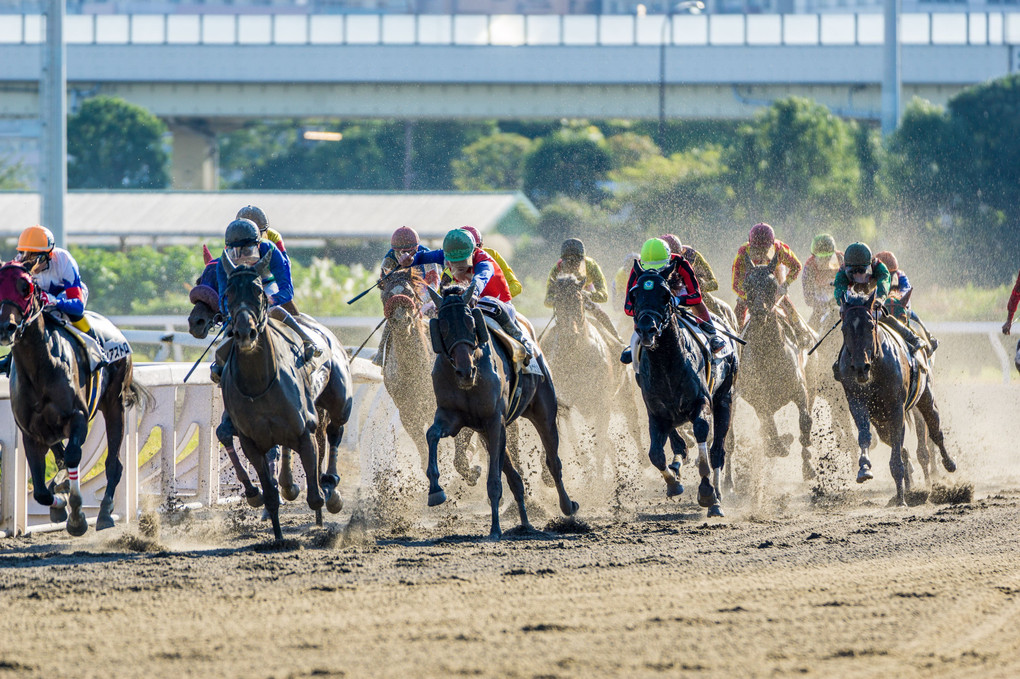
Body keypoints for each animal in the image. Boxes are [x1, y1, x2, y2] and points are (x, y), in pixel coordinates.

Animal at [0, 260, 147, 530]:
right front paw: (59, 502)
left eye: (25, 287)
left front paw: (77, 515)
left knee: (113, 464)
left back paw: (105, 512)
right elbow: (41, 491)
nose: (7, 327)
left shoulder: (77, 417)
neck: (40, 367)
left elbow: (73, 457)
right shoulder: (30, 432)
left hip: (114, 404)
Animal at [219, 249, 354, 538]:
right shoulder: (251, 443)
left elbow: (314, 496)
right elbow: (270, 496)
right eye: (229, 292)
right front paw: (279, 538)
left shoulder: (305, 432)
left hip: (340, 402)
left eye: (258, 290)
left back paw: (331, 487)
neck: (258, 384)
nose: (244, 332)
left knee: (335, 432)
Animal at [424, 283, 583, 538]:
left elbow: (494, 481)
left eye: (471, 323)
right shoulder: (452, 417)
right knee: (515, 477)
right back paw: (525, 522)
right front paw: (435, 490)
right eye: (444, 326)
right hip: (488, 431)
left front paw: (495, 528)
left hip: (543, 411)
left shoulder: (494, 420)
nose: (465, 372)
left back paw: (567, 506)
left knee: (553, 462)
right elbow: (432, 434)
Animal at [624, 257, 738, 513]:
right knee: (678, 443)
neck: (667, 364)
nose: (646, 329)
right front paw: (673, 483)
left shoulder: (702, 402)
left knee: (718, 451)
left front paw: (707, 492)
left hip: (725, 399)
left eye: (666, 295)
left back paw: (717, 495)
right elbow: (656, 454)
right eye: (634, 294)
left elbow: (702, 433)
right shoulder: (655, 411)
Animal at [836, 291, 954, 501]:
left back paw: (948, 464)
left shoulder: (896, 407)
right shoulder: (857, 402)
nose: (860, 367)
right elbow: (865, 435)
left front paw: (901, 496)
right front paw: (864, 467)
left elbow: (901, 447)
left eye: (871, 325)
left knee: (935, 431)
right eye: (844, 328)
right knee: (898, 443)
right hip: (881, 421)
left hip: (926, 398)